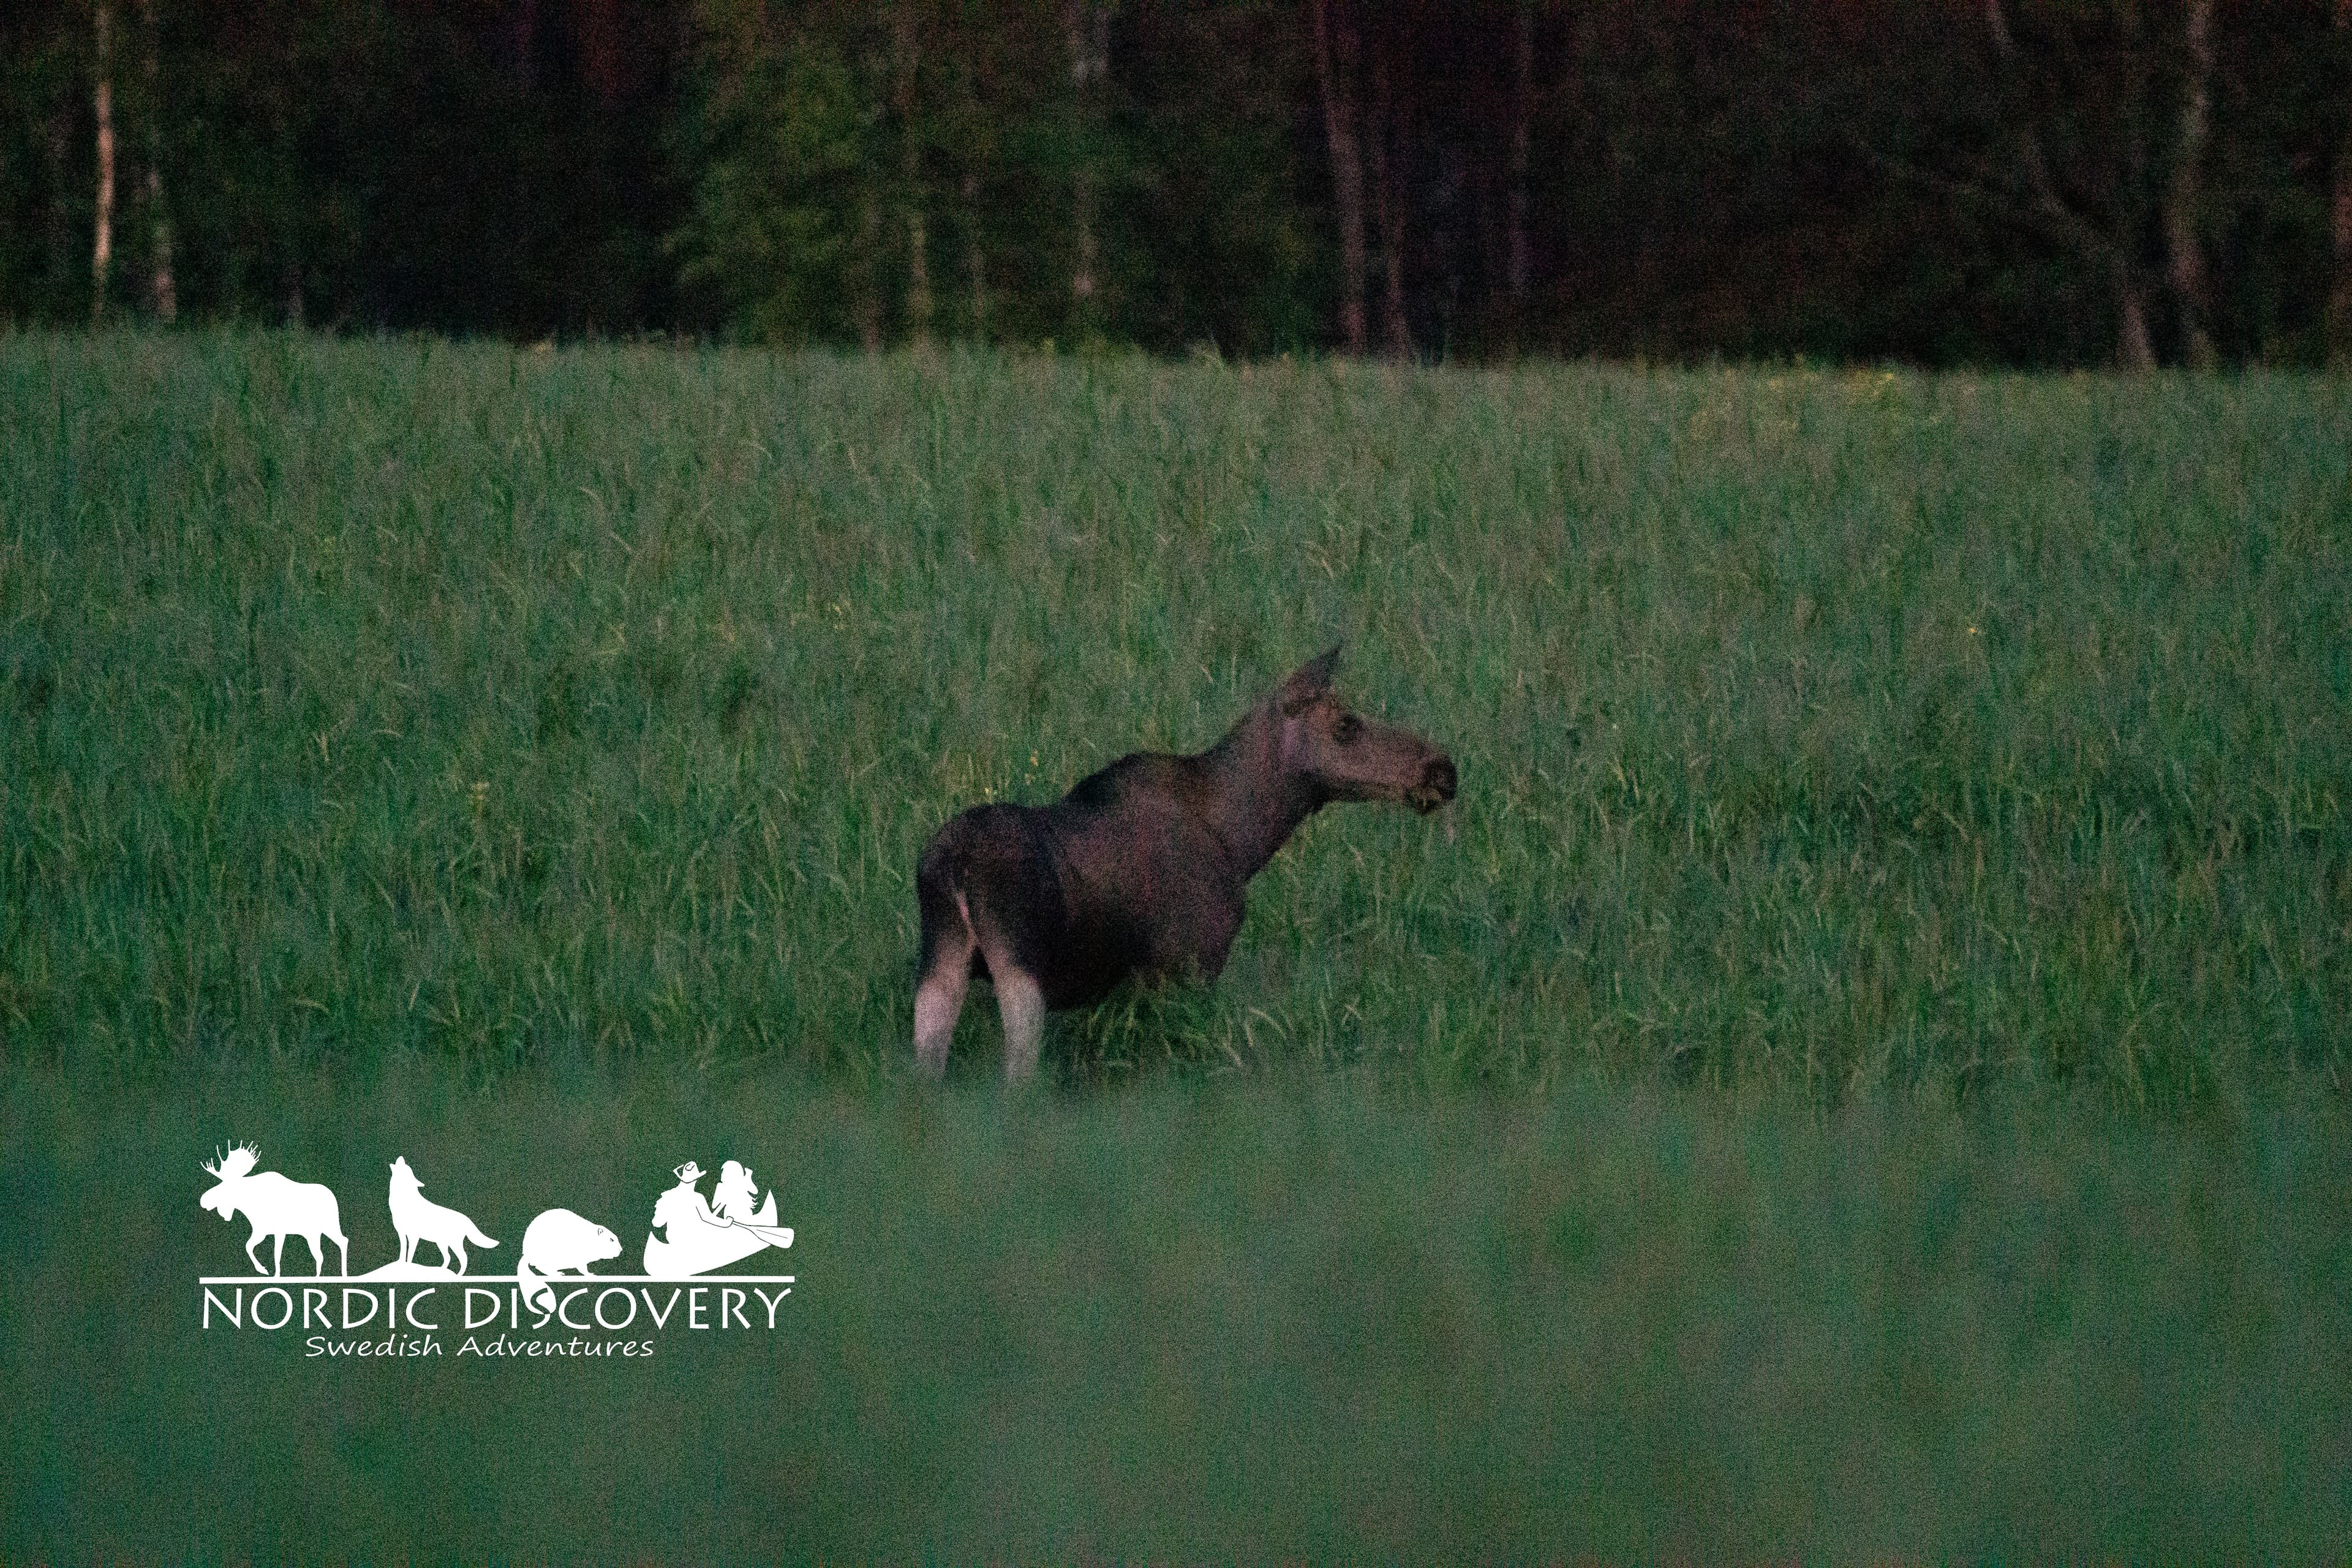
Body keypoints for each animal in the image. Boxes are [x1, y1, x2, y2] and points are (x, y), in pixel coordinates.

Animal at [199, 1143, 350, 1277]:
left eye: (224, 1185)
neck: (249, 1205)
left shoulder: (279, 1231)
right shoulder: (261, 1231)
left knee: (343, 1241)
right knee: (321, 1255)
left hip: (330, 1226)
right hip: (313, 1234)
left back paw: (344, 1274)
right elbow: (248, 1246)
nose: (203, 1200)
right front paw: (263, 1270)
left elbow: (276, 1255)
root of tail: (333, 1197)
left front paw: (274, 1274)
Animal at [913, 647, 1457, 1080]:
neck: (1242, 841)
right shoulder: (1191, 965)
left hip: (941, 960)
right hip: (1018, 967)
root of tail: (954, 867)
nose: (1443, 770)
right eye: (1346, 724)